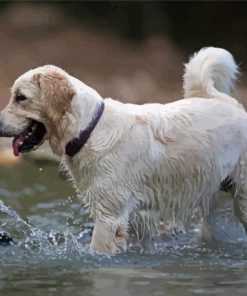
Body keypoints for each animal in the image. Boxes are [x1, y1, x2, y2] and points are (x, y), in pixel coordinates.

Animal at [0, 47, 247, 253]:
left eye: (20, 97)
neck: (88, 130)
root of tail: (220, 98)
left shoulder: (110, 217)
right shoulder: (133, 218)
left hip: (241, 197)